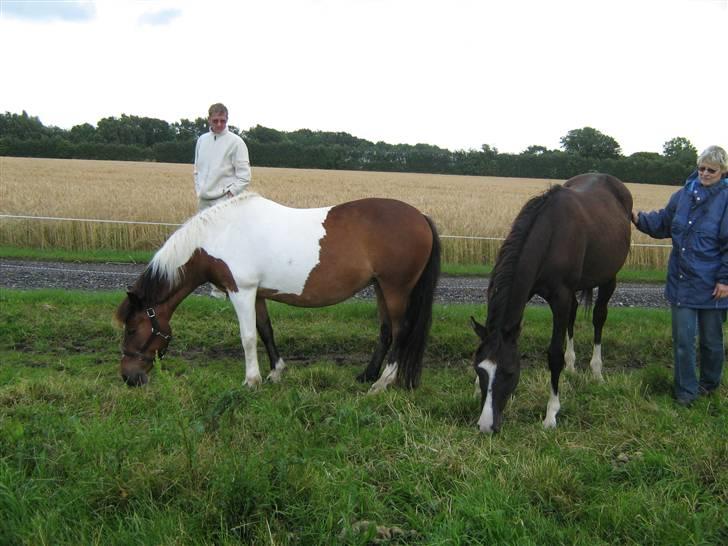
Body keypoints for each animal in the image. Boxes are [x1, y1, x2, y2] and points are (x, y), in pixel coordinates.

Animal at [116, 191, 440, 392]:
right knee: (386, 331)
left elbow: (247, 337)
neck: (220, 235)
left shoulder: (241, 291)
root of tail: (421, 216)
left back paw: (382, 383)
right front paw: (276, 373)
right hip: (380, 287)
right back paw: (367, 375)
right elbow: (265, 331)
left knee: (400, 331)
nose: (128, 377)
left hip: (396, 288)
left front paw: (252, 381)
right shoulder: (257, 294)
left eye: (131, 329)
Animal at [472, 172, 632, 432]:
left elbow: (554, 354)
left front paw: (551, 414)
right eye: (481, 369)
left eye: (510, 372)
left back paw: (596, 371)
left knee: (599, 317)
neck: (550, 234)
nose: (487, 426)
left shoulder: (560, 296)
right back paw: (572, 365)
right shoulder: (532, 290)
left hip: (609, 278)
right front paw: (476, 387)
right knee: (574, 315)